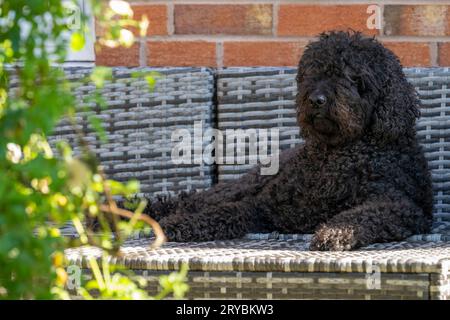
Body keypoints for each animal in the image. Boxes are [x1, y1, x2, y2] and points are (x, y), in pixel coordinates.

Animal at [142, 31, 434, 250]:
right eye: (312, 73)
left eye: (352, 76)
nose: (317, 100)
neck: (335, 155)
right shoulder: (265, 206)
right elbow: (225, 211)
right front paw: (180, 224)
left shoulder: (400, 206)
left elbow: (361, 215)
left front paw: (335, 233)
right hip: (243, 185)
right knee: (193, 201)